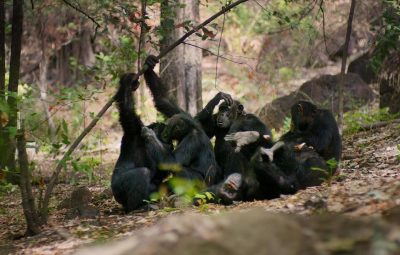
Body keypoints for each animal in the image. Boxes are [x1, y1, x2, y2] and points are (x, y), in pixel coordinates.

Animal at [111, 72, 172, 212]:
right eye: (165, 133)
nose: (169, 141)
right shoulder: (134, 128)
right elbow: (127, 110)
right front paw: (129, 82)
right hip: (118, 190)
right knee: (142, 173)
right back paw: (136, 207)